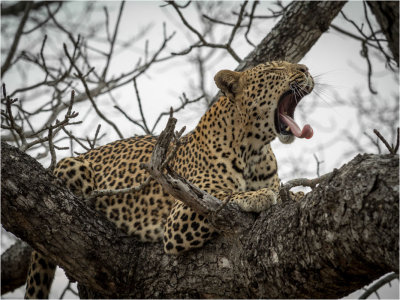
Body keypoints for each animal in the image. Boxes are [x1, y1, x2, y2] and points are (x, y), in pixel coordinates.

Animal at [24, 60, 316, 298]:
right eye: (274, 69)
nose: (305, 69)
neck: (255, 151)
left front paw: (297, 194)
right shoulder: (180, 214)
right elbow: (224, 196)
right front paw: (258, 196)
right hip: (73, 165)